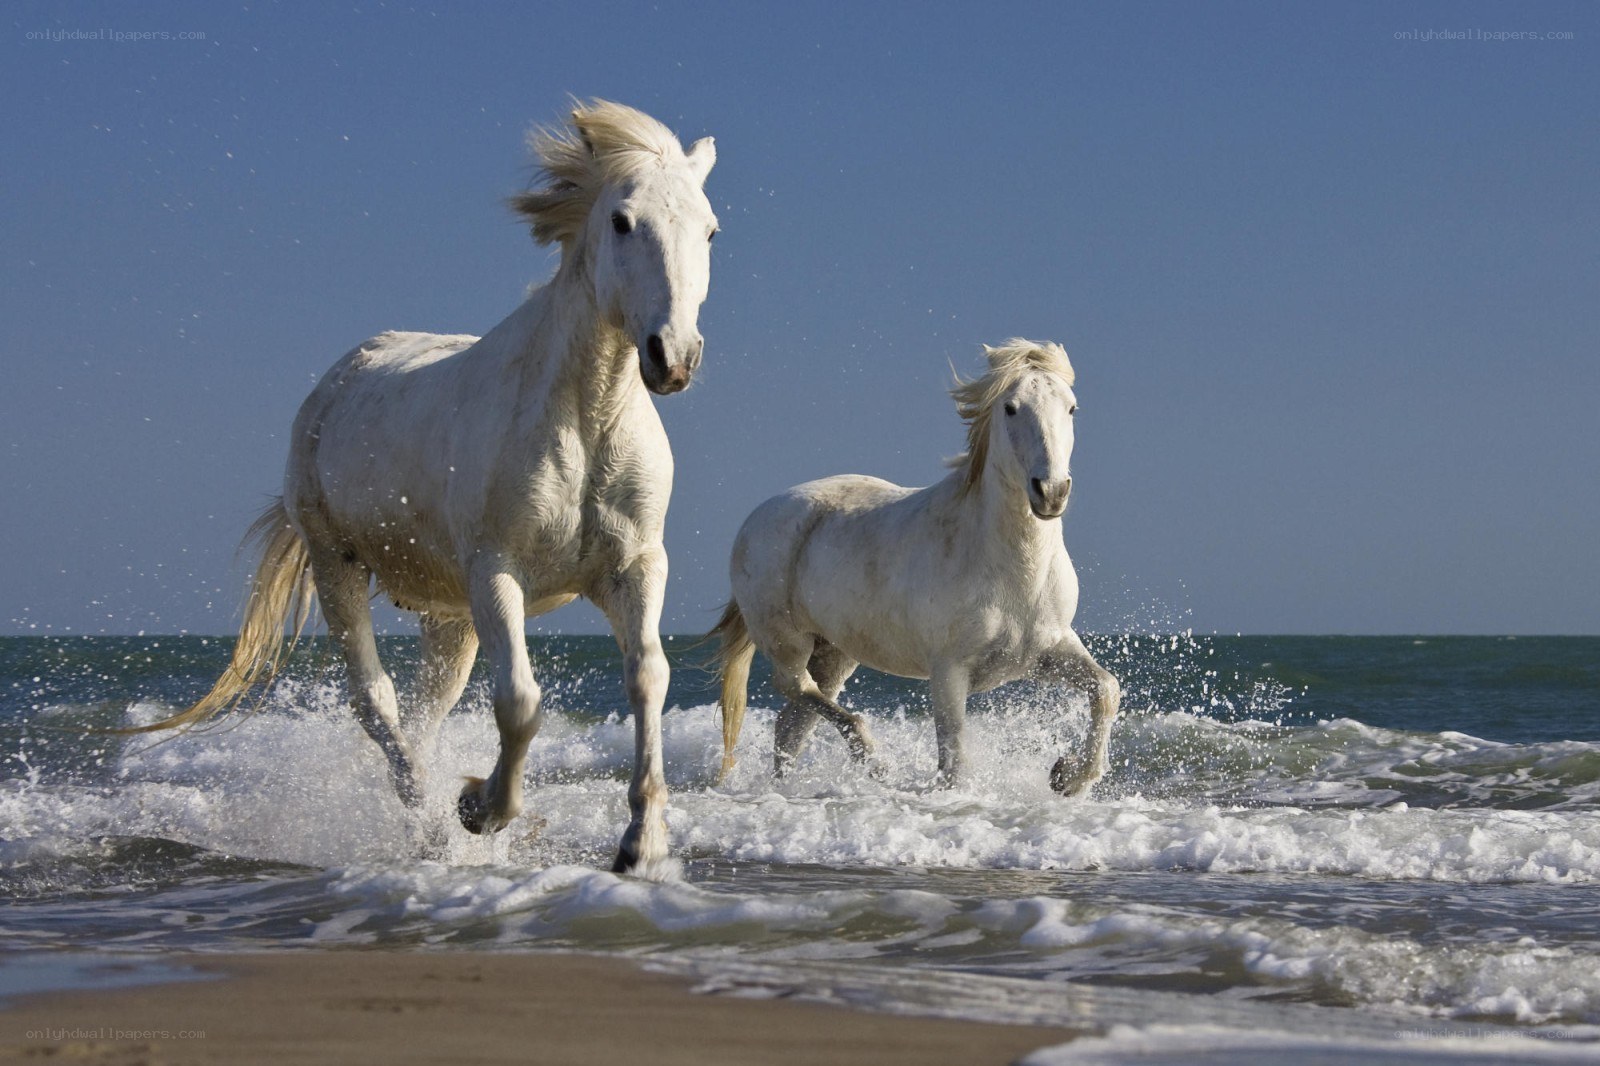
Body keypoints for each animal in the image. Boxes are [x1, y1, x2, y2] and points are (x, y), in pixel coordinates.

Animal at [129, 100, 718, 877]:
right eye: (622, 221)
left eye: (710, 229)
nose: (673, 357)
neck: (585, 417)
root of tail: (338, 379)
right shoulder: (496, 572)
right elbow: (520, 700)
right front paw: (480, 810)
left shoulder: (636, 567)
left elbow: (648, 676)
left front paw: (640, 845)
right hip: (340, 568)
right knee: (377, 705)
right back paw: (434, 825)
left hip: (450, 618)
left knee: (421, 716)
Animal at [710, 340, 1120, 795]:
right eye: (1011, 408)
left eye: (1071, 408)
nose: (1050, 492)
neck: (1015, 573)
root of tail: (757, 516)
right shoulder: (948, 673)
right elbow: (954, 762)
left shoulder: (1047, 652)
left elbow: (1106, 689)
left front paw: (1068, 777)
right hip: (787, 641)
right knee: (795, 688)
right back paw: (872, 759)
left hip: (834, 653)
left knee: (792, 723)